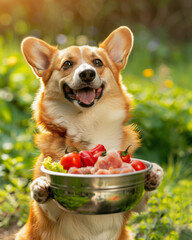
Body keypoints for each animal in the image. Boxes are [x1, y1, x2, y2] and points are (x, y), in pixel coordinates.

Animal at [15, 26, 164, 240]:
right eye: (67, 64)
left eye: (98, 62)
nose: (87, 74)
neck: (88, 122)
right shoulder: (48, 216)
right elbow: (45, 203)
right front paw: (40, 185)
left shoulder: (136, 207)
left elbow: (144, 197)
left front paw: (155, 174)